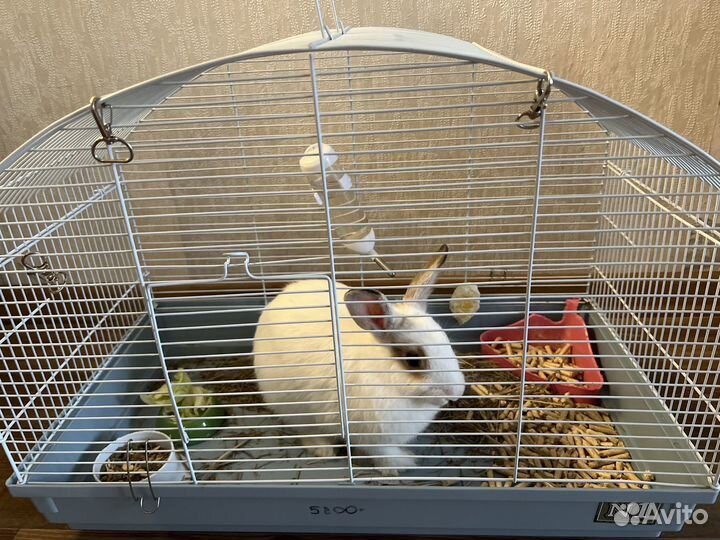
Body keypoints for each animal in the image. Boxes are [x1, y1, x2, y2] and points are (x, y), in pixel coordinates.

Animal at [252, 245, 465, 475]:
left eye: (446, 340)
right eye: (413, 360)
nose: (456, 393)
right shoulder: (370, 434)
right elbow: (382, 453)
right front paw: (400, 465)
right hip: (293, 408)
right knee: (308, 432)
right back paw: (324, 451)